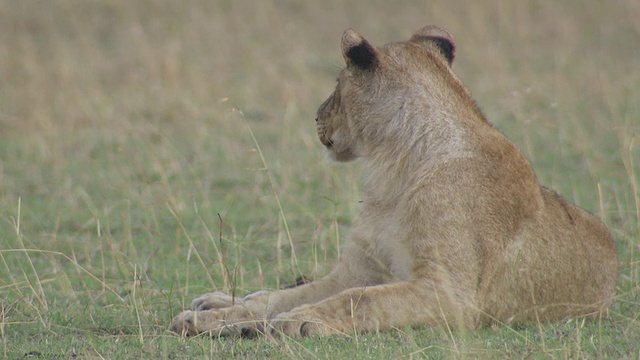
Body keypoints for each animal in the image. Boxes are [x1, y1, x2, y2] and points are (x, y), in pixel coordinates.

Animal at [169, 25, 616, 338]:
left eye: (337, 86)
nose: (316, 117)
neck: (398, 168)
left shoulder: (452, 295)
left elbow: (358, 300)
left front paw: (297, 321)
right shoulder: (356, 269)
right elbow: (280, 299)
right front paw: (205, 320)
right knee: (263, 294)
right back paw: (214, 305)